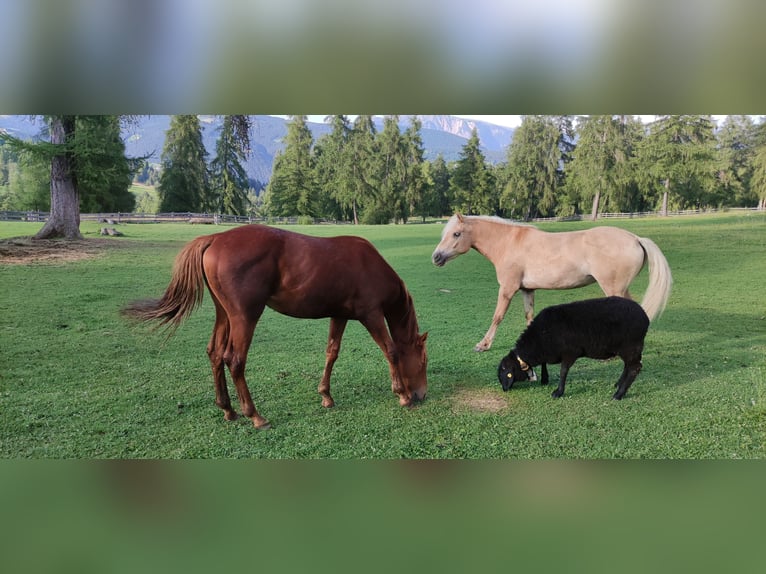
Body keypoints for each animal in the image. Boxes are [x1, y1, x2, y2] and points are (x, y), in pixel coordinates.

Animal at [123, 224, 428, 428]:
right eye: (424, 361)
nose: (421, 394)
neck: (370, 266)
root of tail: (215, 238)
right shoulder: (371, 315)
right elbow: (391, 350)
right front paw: (402, 394)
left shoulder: (339, 315)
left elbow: (332, 352)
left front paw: (326, 395)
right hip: (245, 316)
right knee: (234, 360)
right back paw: (255, 415)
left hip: (224, 314)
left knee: (215, 354)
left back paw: (228, 409)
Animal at [436, 215, 676, 354]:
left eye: (456, 233)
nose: (436, 257)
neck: (509, 243)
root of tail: (635, 238)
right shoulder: (527, 290)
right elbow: (529, 317)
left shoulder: (507, 289)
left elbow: (498, 316)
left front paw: (483, 344)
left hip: (614, 288)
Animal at [498, 296, 656, 400]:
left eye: (506, 373)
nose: (504, 390)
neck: (540, 337)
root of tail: (644, 316)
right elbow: (545, 364)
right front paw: (545, 379)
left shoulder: (570, 352)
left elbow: (563, 371)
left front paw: (558, 392)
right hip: (626, 348)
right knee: (628, 365)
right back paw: (618, 384)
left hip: (630, 346)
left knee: (634, 368)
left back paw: (618, 394)